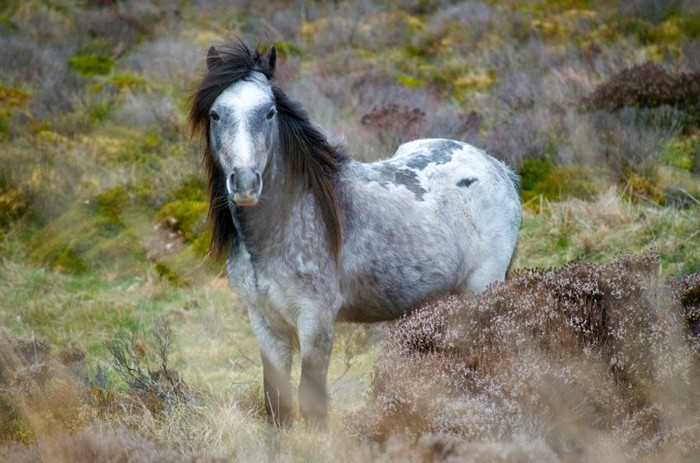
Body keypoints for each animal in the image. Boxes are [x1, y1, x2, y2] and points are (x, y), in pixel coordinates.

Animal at [189, 40, 524, 428]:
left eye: (269, 112)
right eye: (216, 114)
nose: (244, 183)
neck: (281, 228)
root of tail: (497, 168)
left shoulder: (316, 320)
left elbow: (312, 400)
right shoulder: (265, 323)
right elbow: (276, 403)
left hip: (482, 285)